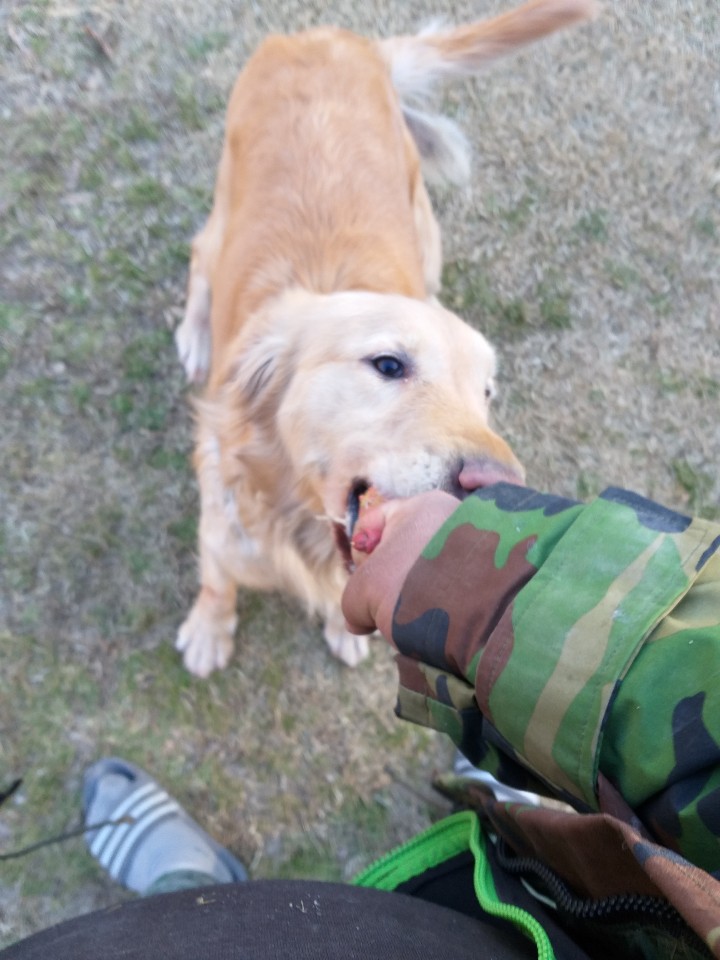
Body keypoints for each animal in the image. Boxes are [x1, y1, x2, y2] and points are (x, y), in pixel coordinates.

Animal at [173, 0, 596, 680]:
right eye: (389, 364)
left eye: (485, 393)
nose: (499, 487)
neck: (299, 522)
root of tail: (330, 36)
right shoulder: (221, 525)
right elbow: (218, 581)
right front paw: (208, 632)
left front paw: (344, 631)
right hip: (222, 210)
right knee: (197, 255)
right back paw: (193, 333)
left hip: (426, 224)